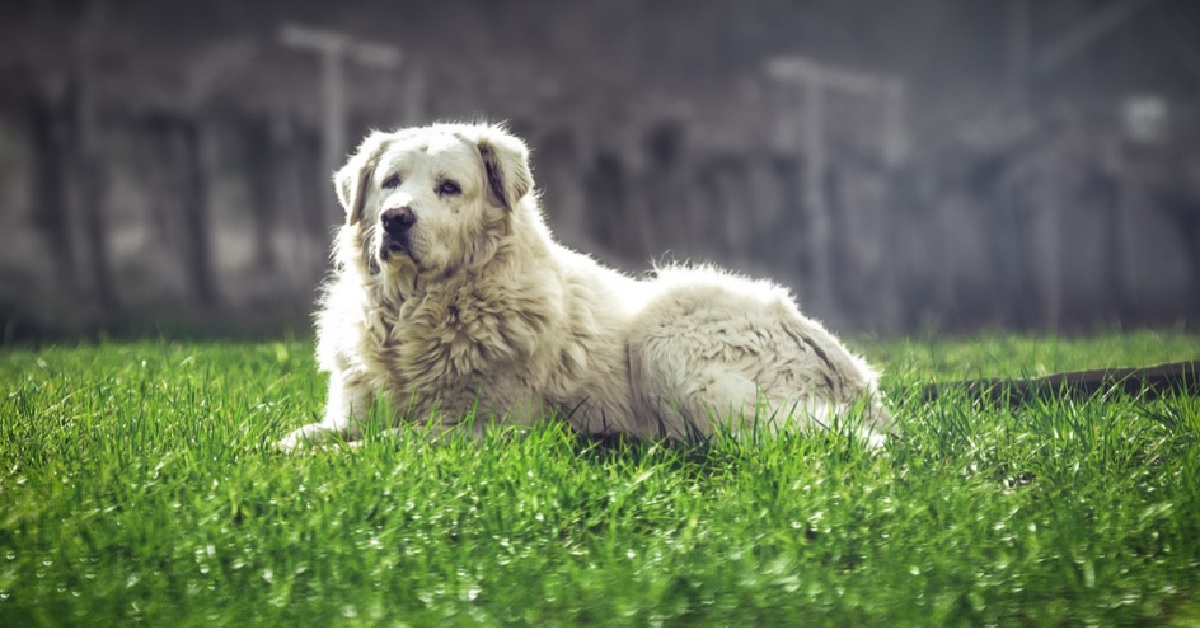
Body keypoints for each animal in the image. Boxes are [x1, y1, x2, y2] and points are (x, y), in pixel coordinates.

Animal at [276, 120, 888, 449]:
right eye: (390, 182)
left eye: (449, 187)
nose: (396, 219)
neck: (420, 309)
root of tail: (858, 377)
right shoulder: (348, 412)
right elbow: (300, 437)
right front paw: (291, 450)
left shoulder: (483, 429)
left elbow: (386, 443)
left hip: (667, 328)